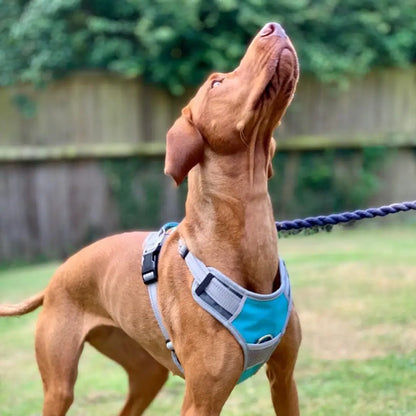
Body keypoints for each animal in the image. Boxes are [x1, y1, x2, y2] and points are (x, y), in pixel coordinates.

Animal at [0, 22, 300, 416]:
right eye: (216, 83)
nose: (273, 27)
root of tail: (54, 280)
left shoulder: (285, 380)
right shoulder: (201, 400)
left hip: (147, 372)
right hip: (60, 385)